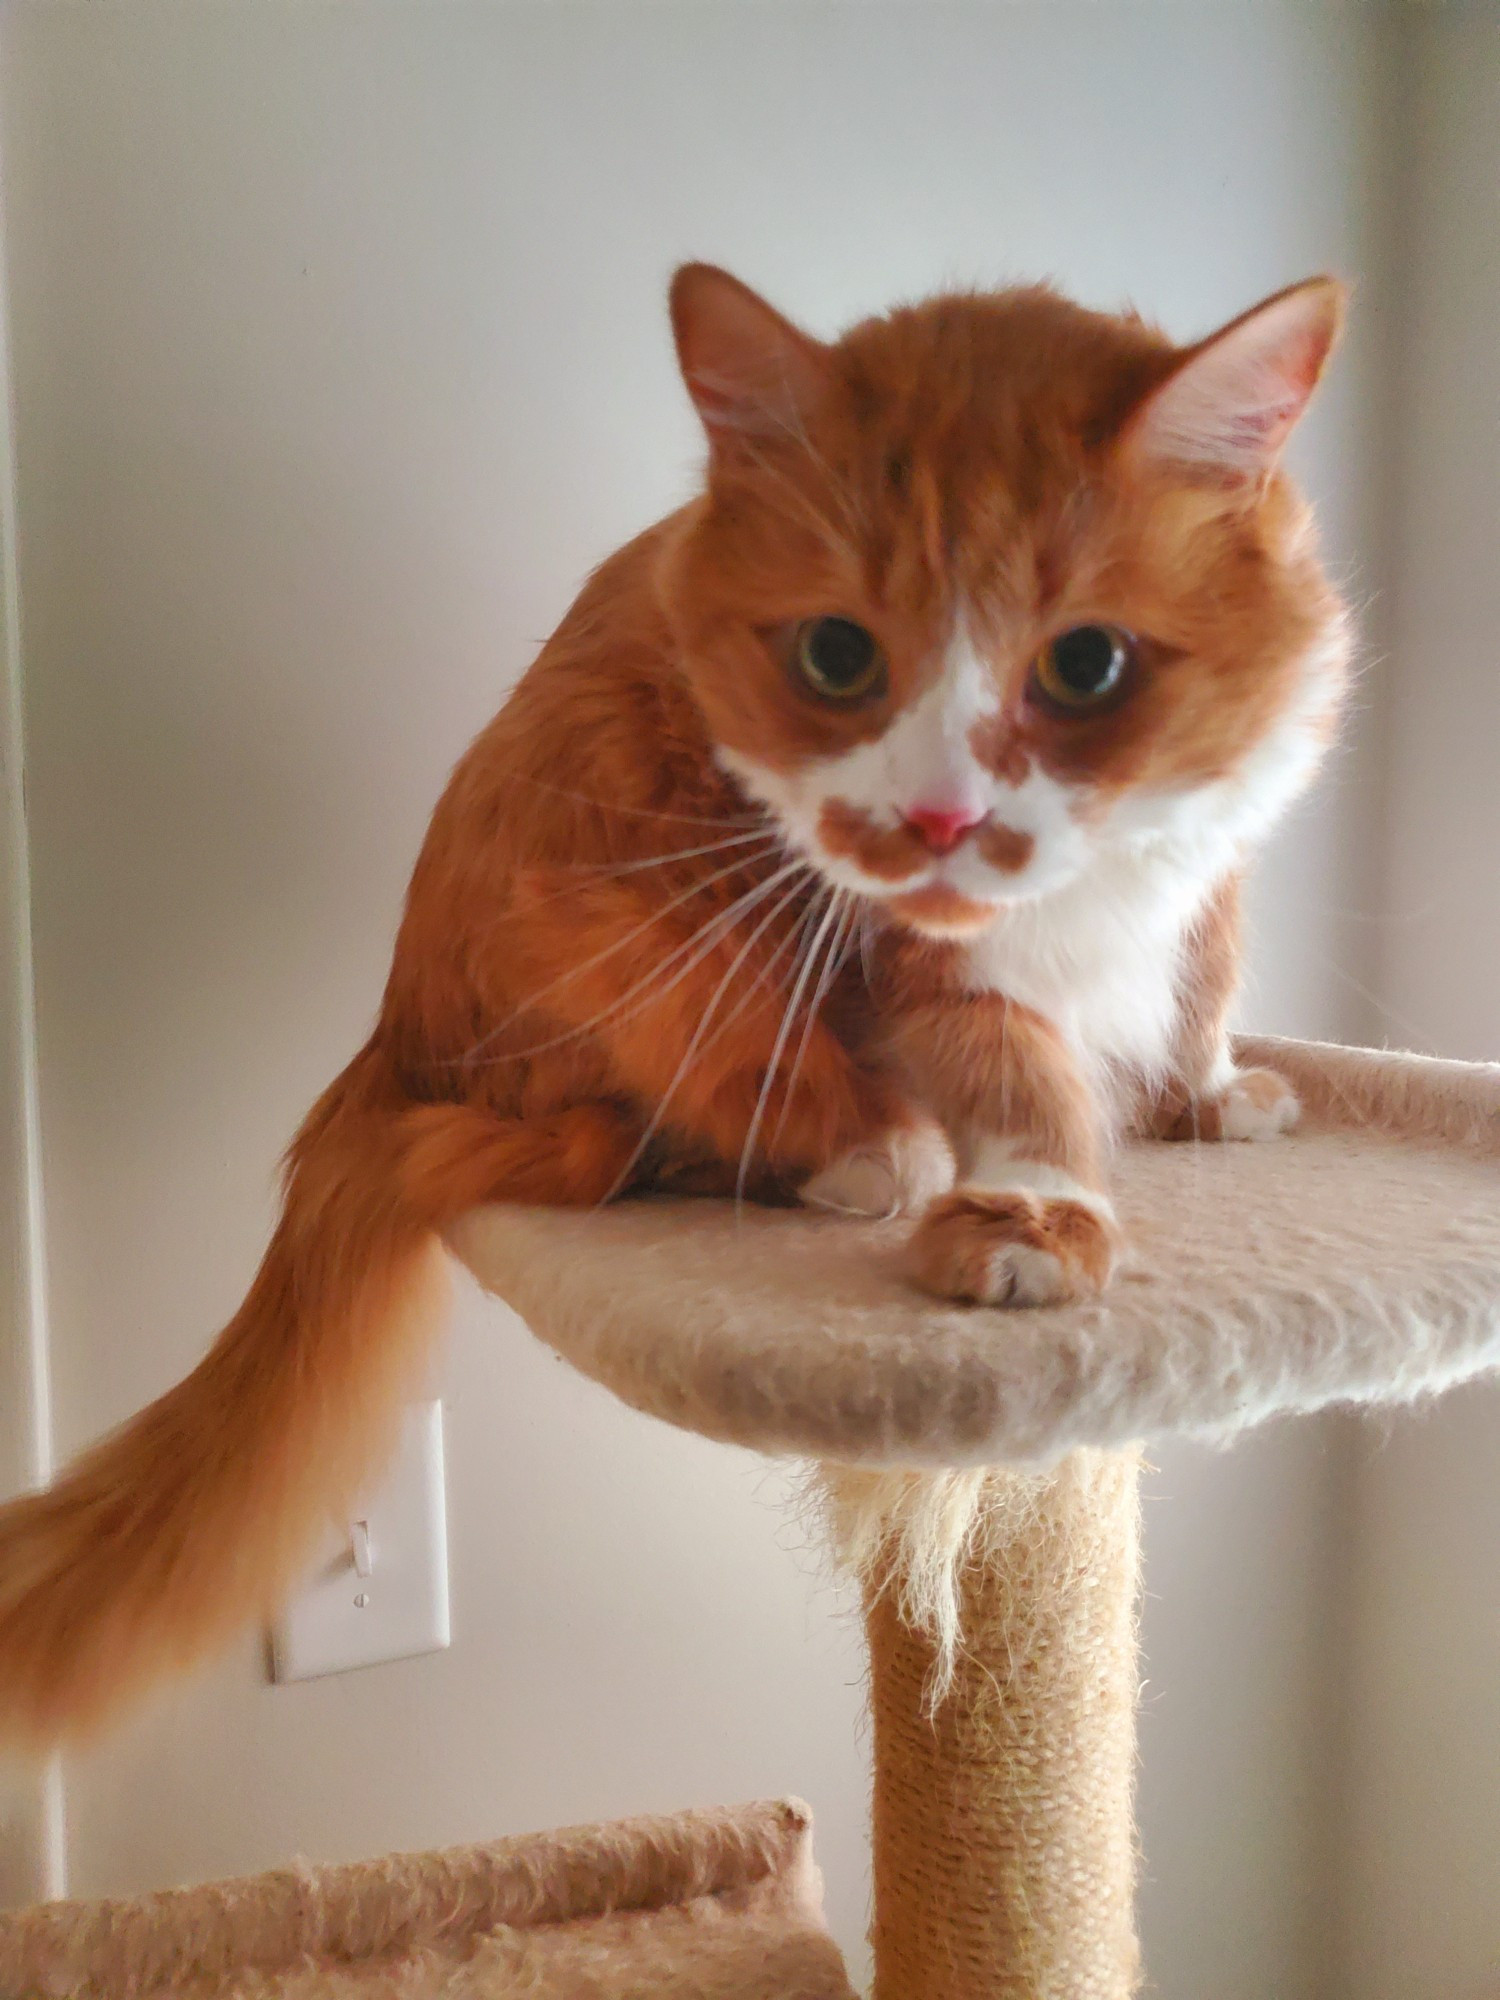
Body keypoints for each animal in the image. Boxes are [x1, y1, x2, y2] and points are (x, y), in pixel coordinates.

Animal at [0, 262, 1352, 1736]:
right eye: (835, 656)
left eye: (1087, 666)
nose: (939, 819)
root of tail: (387, 1044)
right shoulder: (903, 955)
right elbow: (1019, 1076)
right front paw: (1033, 1213)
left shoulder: (1209, 870)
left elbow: (1202, 985)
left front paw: (1207, 1094)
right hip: (630, 919)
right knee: (641, 1143)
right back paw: (870, 1157)